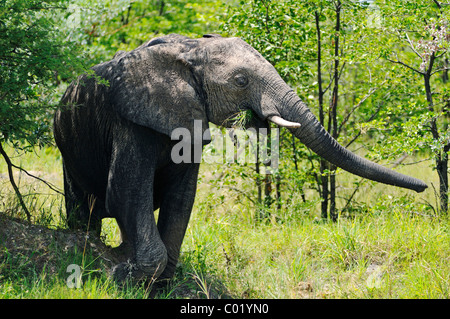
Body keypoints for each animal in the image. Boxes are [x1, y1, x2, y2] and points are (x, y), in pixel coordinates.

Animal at [54, 33, 428, 284]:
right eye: (241, 81)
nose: (423, 187)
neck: (188, 49)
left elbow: (181, 199)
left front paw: (157, 283)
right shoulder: (130, 120)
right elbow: (126, 193)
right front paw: (123, 275)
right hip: (65, 142)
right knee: (82, 208)